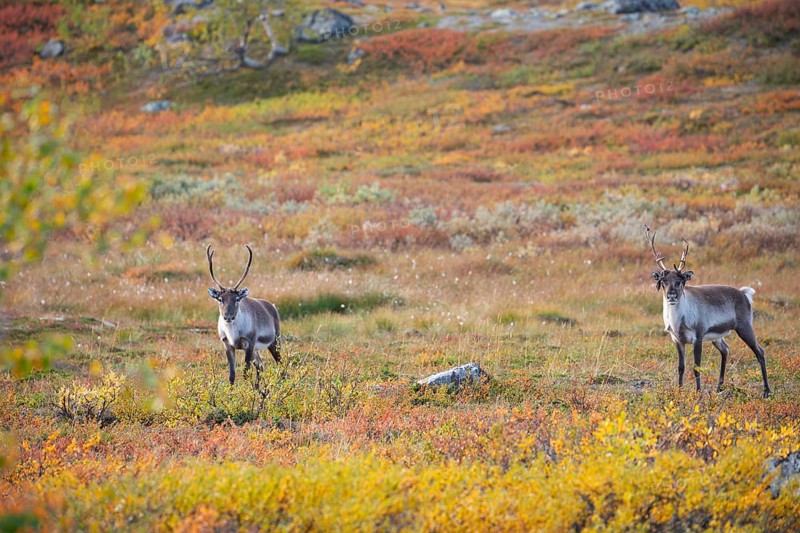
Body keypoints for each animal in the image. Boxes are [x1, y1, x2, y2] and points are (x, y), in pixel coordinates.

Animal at [206, 244, 281, 385]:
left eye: (236, 299)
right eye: (220, 299)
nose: (228, 317)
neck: (233, 334)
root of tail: (272, 306)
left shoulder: (249, 343)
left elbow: (246, 372)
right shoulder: (227, 344)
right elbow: (232, 375)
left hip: (275, 340)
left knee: (280, 363)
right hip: (257, 350)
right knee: (260, 366)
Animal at [644, 226, 770, 398]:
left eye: (680, 281)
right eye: (663, 281)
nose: (672, 296)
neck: (677, 322)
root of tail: (745, 294)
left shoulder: (698, 337)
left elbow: (696, 367)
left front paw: (698, 392)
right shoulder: (677, 339)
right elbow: (681, 367)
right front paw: (679, 391)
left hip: (744, 326)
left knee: (760, 352)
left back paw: (766, 391)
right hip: (717, 337)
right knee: (725, 350)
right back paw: (719, 387)